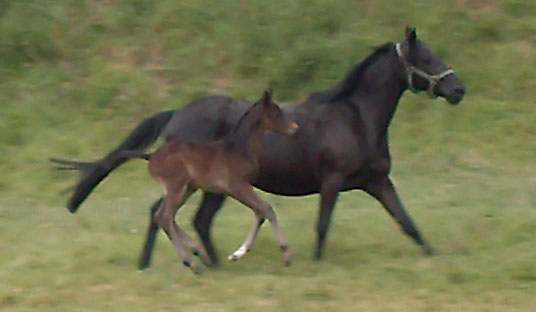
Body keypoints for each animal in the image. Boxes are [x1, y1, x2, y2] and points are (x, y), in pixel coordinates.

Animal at [107, 90, 300, 272]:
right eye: (276, 112)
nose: (294, 128)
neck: (239, 149)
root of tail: (151, 156)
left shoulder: (240, 188)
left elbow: (260, 212)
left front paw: (238, 253)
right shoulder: (237, 186)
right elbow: (266, 209)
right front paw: (285, 253)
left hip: (187, 188)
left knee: (166, 215)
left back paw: (200, 254)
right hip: (177, 187)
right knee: (164, 216)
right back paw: (193, 263)